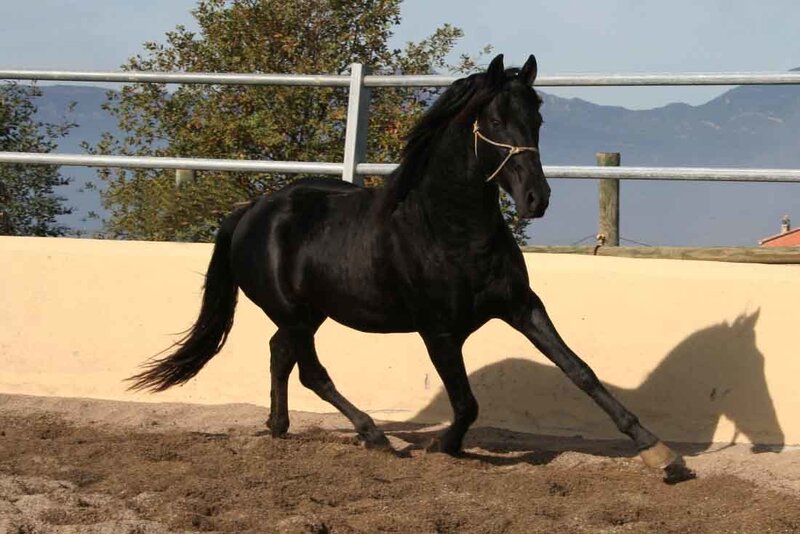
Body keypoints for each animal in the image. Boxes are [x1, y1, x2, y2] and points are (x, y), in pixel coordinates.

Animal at [129, 54, 691, 482]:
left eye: (537, 119)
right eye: (494, 122)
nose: (538, 199)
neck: (449, 229)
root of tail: (252, 211)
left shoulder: (521, 306)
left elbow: (581, 371)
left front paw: (661, 454)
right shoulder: (438, 331)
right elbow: (466, 403)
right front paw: (443, 447)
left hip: (309, 315)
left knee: (280, 355)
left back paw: (279, 425)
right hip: (293, 313)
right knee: (310, 370)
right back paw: (374, 435)